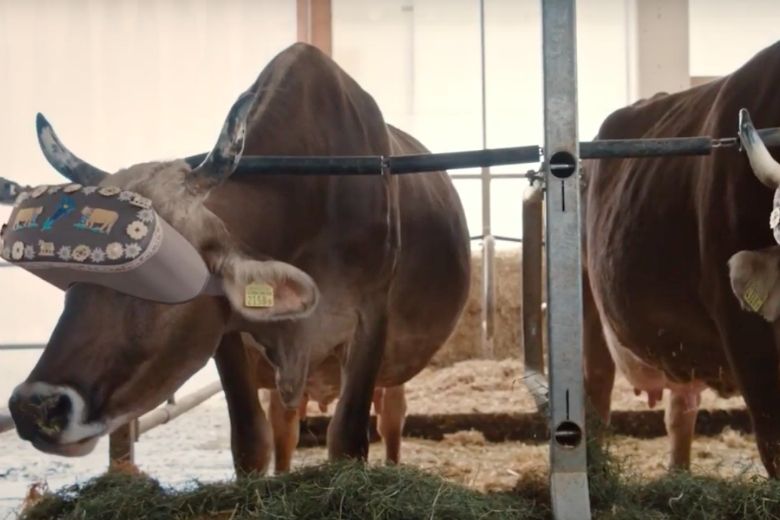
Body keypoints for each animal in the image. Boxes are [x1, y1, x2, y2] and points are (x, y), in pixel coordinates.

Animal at [6, 43, 470, 474]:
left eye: (165, 277)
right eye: (70, 281)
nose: (34, 407)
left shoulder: (370, 316)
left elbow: (348, 440)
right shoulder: (229, 337)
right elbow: (251, 442)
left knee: (392, 416)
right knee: (285, 424)